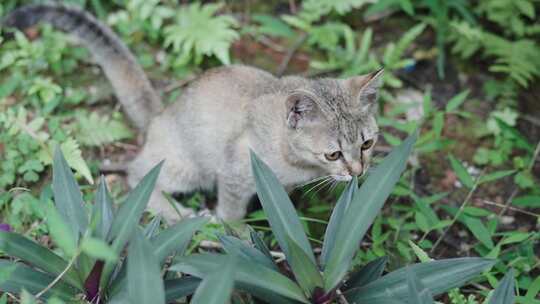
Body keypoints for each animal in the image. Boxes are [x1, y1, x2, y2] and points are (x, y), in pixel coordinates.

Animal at [5, 2, 384, 223]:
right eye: (333, 153)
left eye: (366, 144)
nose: (359, 171)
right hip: (188, 168)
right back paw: (178, 212)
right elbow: (231, 212)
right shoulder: (234, 170)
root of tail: (161, 113)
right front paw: (239, 236)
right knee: (137, 173)